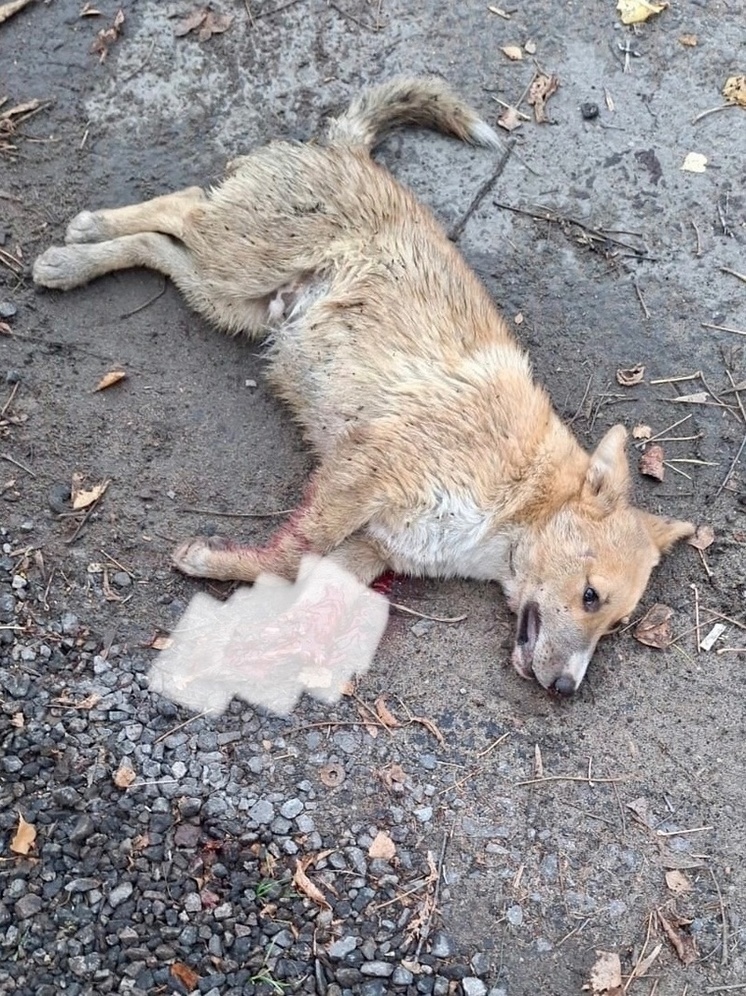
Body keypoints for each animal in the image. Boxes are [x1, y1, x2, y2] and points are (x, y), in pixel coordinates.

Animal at [30, 78, 692, 696]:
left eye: (614, 625)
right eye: (589, 596)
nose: (565, 691)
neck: (519, 499)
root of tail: (349, 151)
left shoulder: (373, 545)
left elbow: (292, 568)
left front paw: (225, 567)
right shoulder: (363, 474)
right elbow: (292, 549)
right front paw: (214, 560)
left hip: (229, 300)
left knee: (160, 246)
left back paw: (77, 259)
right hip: (234, 262)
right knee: (184, 207)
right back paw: (81, 239)